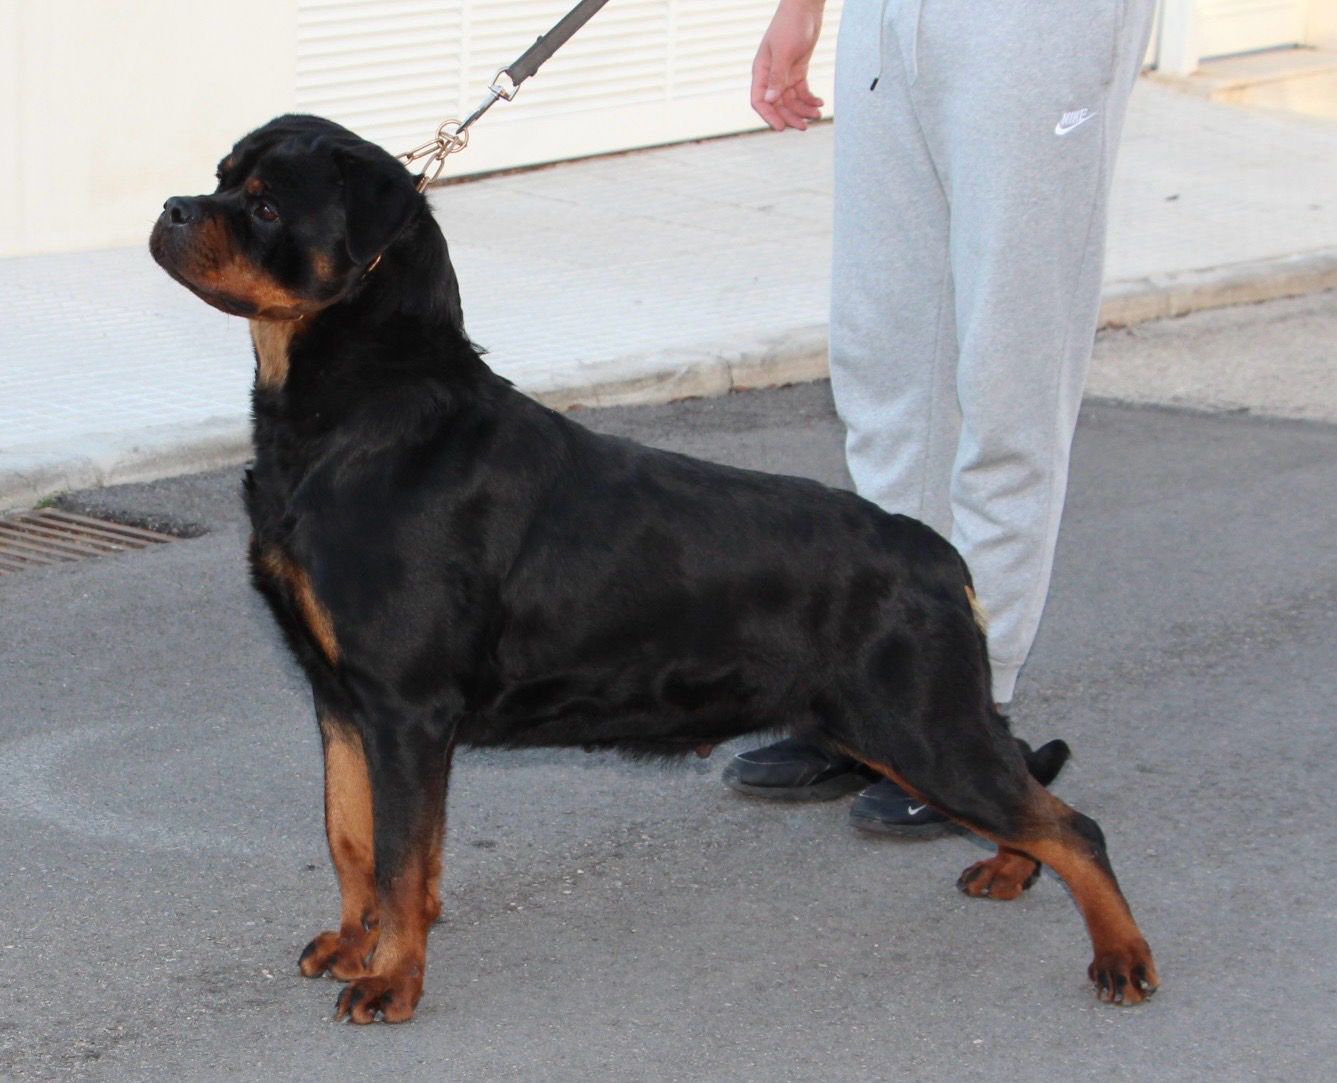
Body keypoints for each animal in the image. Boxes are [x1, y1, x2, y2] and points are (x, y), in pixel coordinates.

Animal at [150, 115, 1158, 1023]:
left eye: (265, 204)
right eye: (222, 176)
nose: (168, 208)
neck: (357, 412)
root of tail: (939, 555)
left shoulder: (405, 706)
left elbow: (401, 855)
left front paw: (392, 979)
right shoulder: (341, 698)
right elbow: (352, 834)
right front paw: (354, 943)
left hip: (919, 725)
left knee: (1073, 823)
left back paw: (1119, 956)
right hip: (913, 722)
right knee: (1030, 796)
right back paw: (1010, 868)